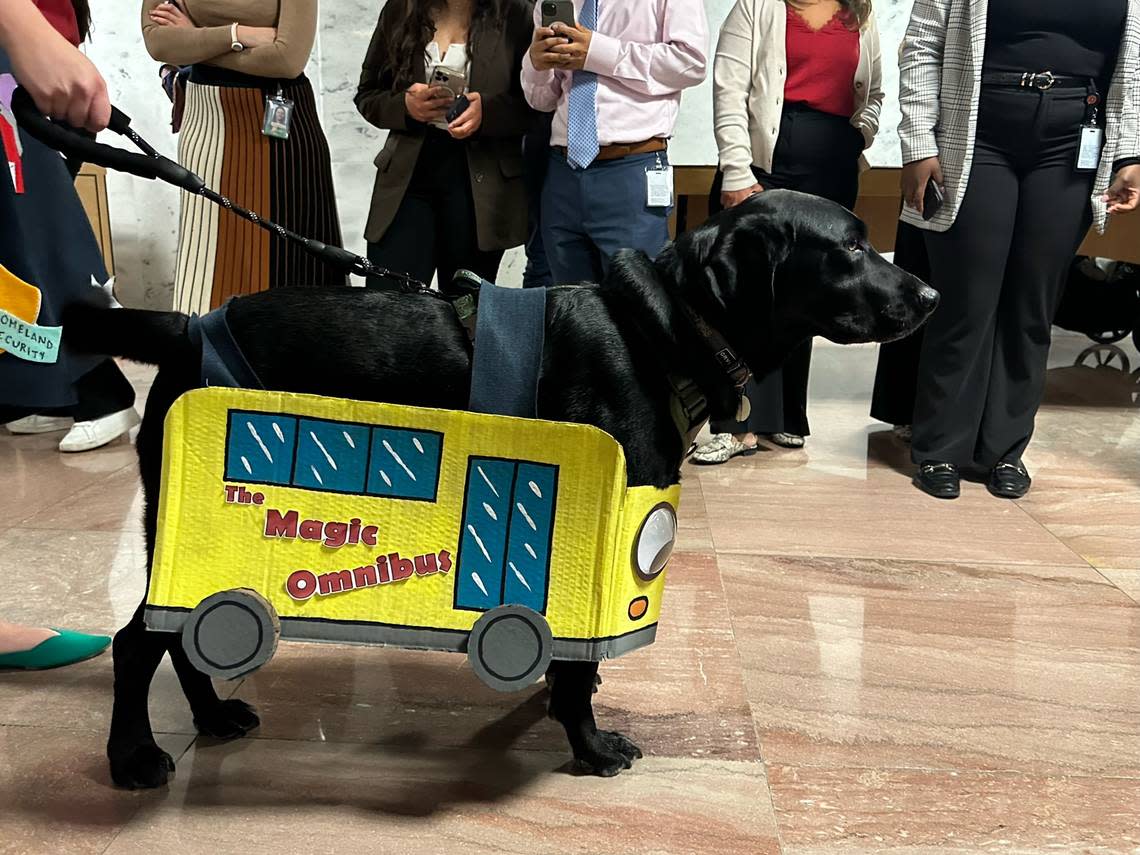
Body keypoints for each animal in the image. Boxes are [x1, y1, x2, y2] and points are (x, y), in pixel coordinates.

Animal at [64, 192, 934, 788]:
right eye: (850, 247)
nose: (929, 296)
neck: (662, 328)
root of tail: (189, 327)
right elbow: (576, 669)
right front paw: (588, 743)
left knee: (175, 632)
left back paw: (210, 716)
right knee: (136, 640)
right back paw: (134, 755)